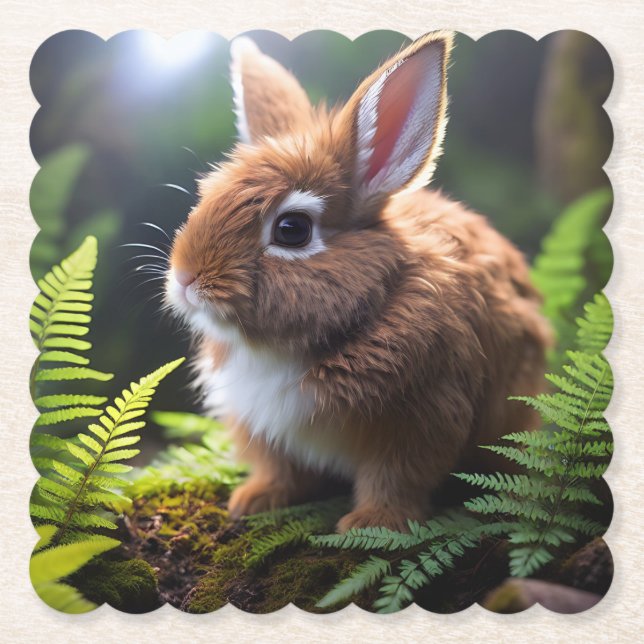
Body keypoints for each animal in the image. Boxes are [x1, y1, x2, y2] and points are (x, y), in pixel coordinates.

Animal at [165, 31, 553, 532]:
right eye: (207, 196)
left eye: (292, 229)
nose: (185, 277)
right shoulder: (260, 425)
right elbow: (279, 469)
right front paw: (252, 500)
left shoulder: (420, 416)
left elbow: (397, 478)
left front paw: (371, 524)